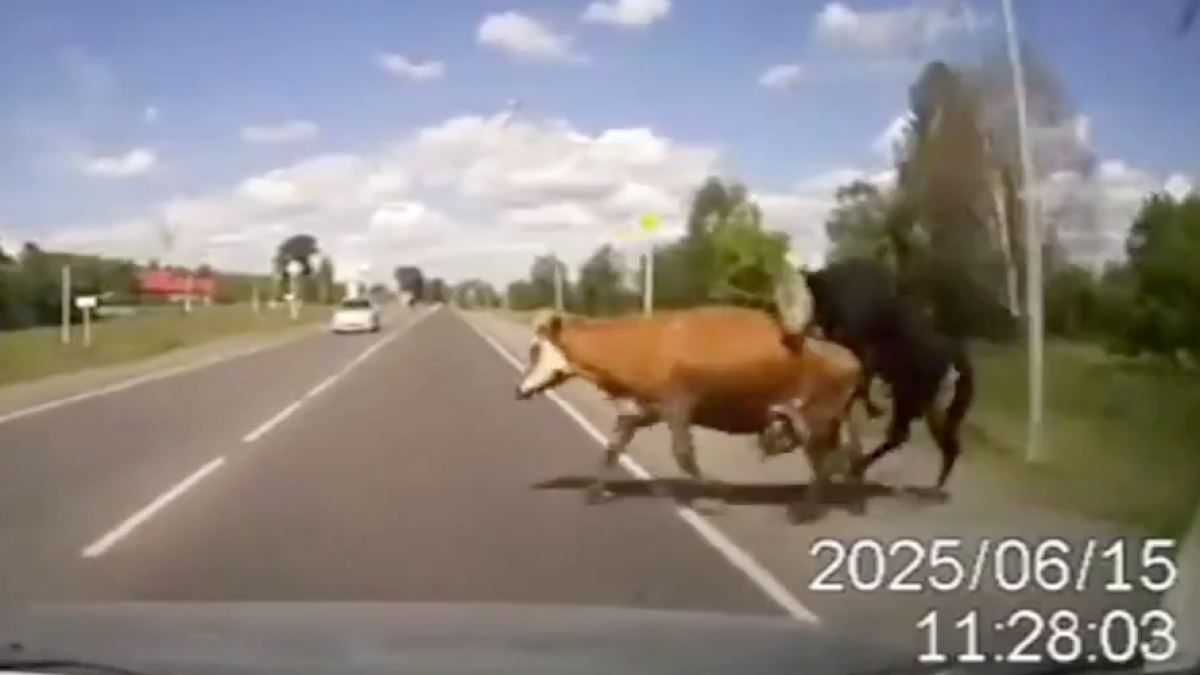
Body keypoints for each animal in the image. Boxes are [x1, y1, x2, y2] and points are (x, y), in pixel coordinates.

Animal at [511, 306, 868, 521]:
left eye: (535, 349)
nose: (518, 390)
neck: (633, 347)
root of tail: (849, 356)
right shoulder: (636, 411)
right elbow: (612, 451)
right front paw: (594, 493)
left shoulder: (678, 407)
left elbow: (683, 456)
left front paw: (719, 495)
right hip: (819, 422)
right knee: (842, 461)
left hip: (815, 421)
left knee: (828, 464)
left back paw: (805, 510)